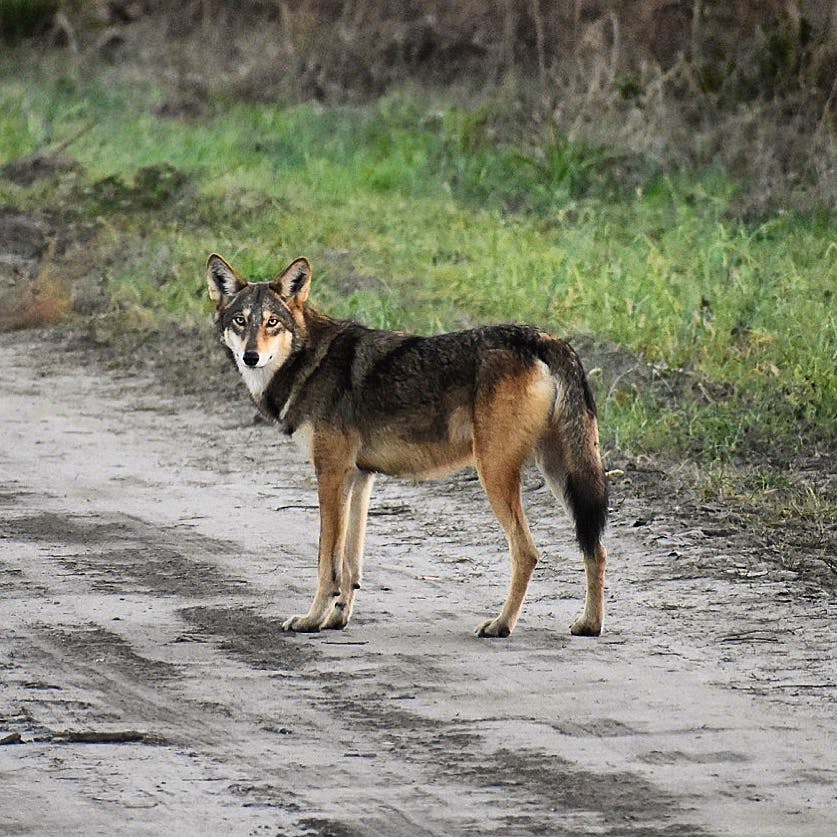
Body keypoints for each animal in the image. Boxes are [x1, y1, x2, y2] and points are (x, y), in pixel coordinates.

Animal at [207, 253, 608, 638]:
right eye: (240, 321)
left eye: (272, 322)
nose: (251, 357)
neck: (309, 362)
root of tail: (547, 340)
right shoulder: (359, 478)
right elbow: (350, 563)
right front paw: (336, 619)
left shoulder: (330, 474)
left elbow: (327, 563)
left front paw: (311, 620)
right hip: (560, 475)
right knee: (596, 547)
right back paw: (590, 624)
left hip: (495, 472)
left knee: (528, 552)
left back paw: (501, 625)